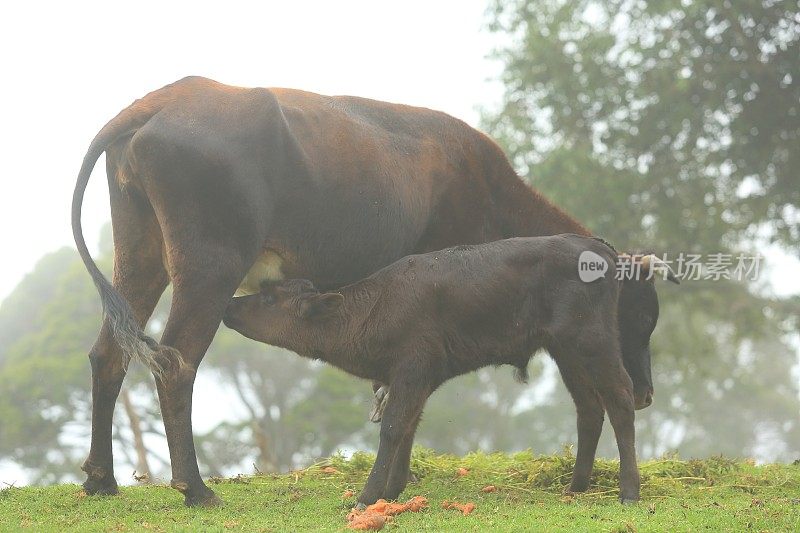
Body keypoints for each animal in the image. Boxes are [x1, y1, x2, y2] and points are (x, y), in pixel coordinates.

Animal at [72, 76, 664, 508]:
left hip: (141, 256)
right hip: (207, 270)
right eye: (640, 316)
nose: (646, 394)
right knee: (175, 363)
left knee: (109, 354)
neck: (485, 185)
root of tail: (168, 97)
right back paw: (194, 489)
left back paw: (101, 479)